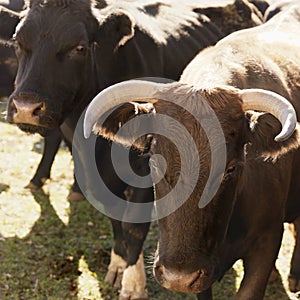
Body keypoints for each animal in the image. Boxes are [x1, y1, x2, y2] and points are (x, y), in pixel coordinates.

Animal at [2, 0, 262, 298]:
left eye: (79, 47)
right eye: (18, 41)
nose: (26, 108)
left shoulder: (145, 167)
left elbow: (134, 224)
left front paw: (133, 282)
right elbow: (115, 216)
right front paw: (118, 264)